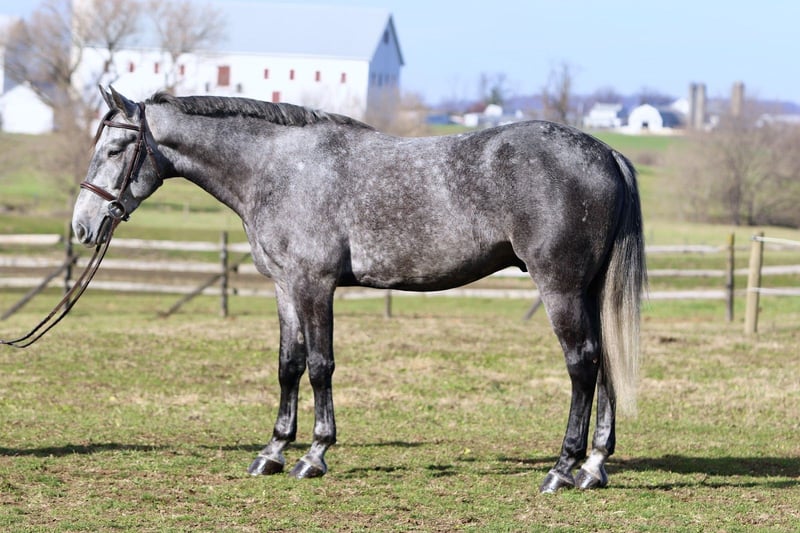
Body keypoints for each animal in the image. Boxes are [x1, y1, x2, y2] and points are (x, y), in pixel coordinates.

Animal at [72, 86, 646, 493]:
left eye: (117, 147)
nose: (82, 226)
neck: (278, 169)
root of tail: (607, 153)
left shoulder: (314, 284)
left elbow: (320, 366)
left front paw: (314, 455)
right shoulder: (285, 286)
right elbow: (288, 365)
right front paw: (272, 452)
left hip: (560, 288)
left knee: (582, 364)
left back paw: (562, 468)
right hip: (588, 290)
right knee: (604, 364)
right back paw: (594, 466)